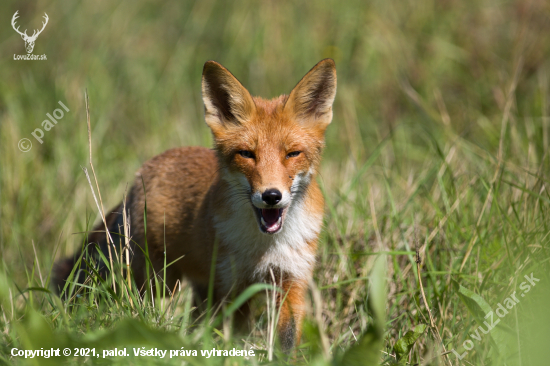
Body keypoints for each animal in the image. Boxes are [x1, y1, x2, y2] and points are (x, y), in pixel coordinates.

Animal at [52, 58, 336, 350]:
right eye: (246, 154)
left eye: (292, 154)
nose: (271, 196)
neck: (264, 248)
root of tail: (145, 171)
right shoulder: (232, 285)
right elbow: (232, 337)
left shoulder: (291, 279)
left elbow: (286, 340)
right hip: (161, 281)